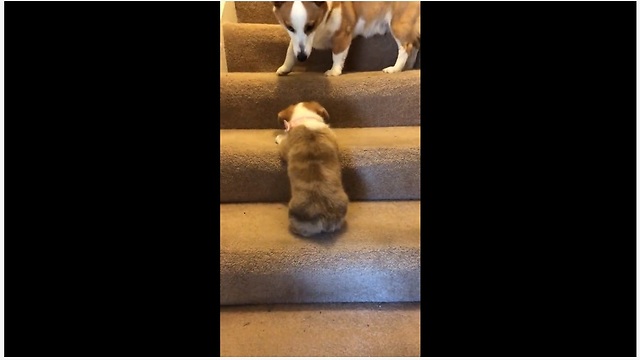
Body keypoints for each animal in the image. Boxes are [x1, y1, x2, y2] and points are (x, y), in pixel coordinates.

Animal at [272, 0, 422, 76]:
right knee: (414, 46)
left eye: (310, 26)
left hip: (397, 24)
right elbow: (290, 52)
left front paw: (334, 72)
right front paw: (285, 68)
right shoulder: (297, 41)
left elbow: (337, 56)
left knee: (406, 47)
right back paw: (408, 66)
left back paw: (395, 68)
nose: (302, 58)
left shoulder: (342, 35)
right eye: (290, 27)